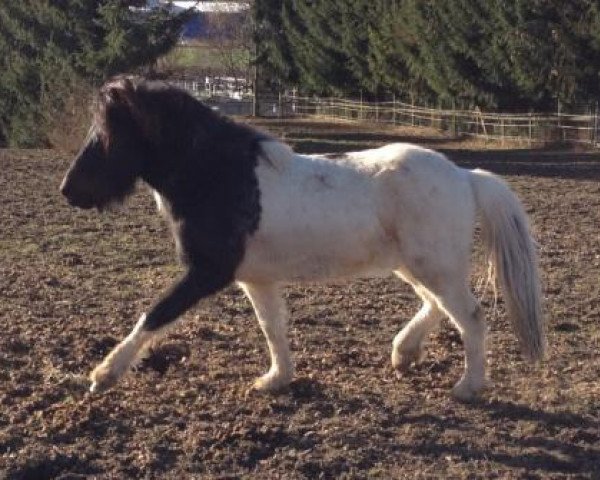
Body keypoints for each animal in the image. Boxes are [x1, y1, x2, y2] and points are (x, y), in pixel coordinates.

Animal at [59, 77, 544, 402]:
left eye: (108, 134)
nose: (69, 190)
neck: (219, 177)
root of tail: (465, 176)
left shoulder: (207, 272)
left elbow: (155, 315)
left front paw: (103, 374)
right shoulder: (255, 279)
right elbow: (272, 327)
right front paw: (276, 380)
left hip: (433, 266)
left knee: (470, 316)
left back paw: (467, 387)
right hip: (416, 265)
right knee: (437, 306)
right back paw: (403, 354)